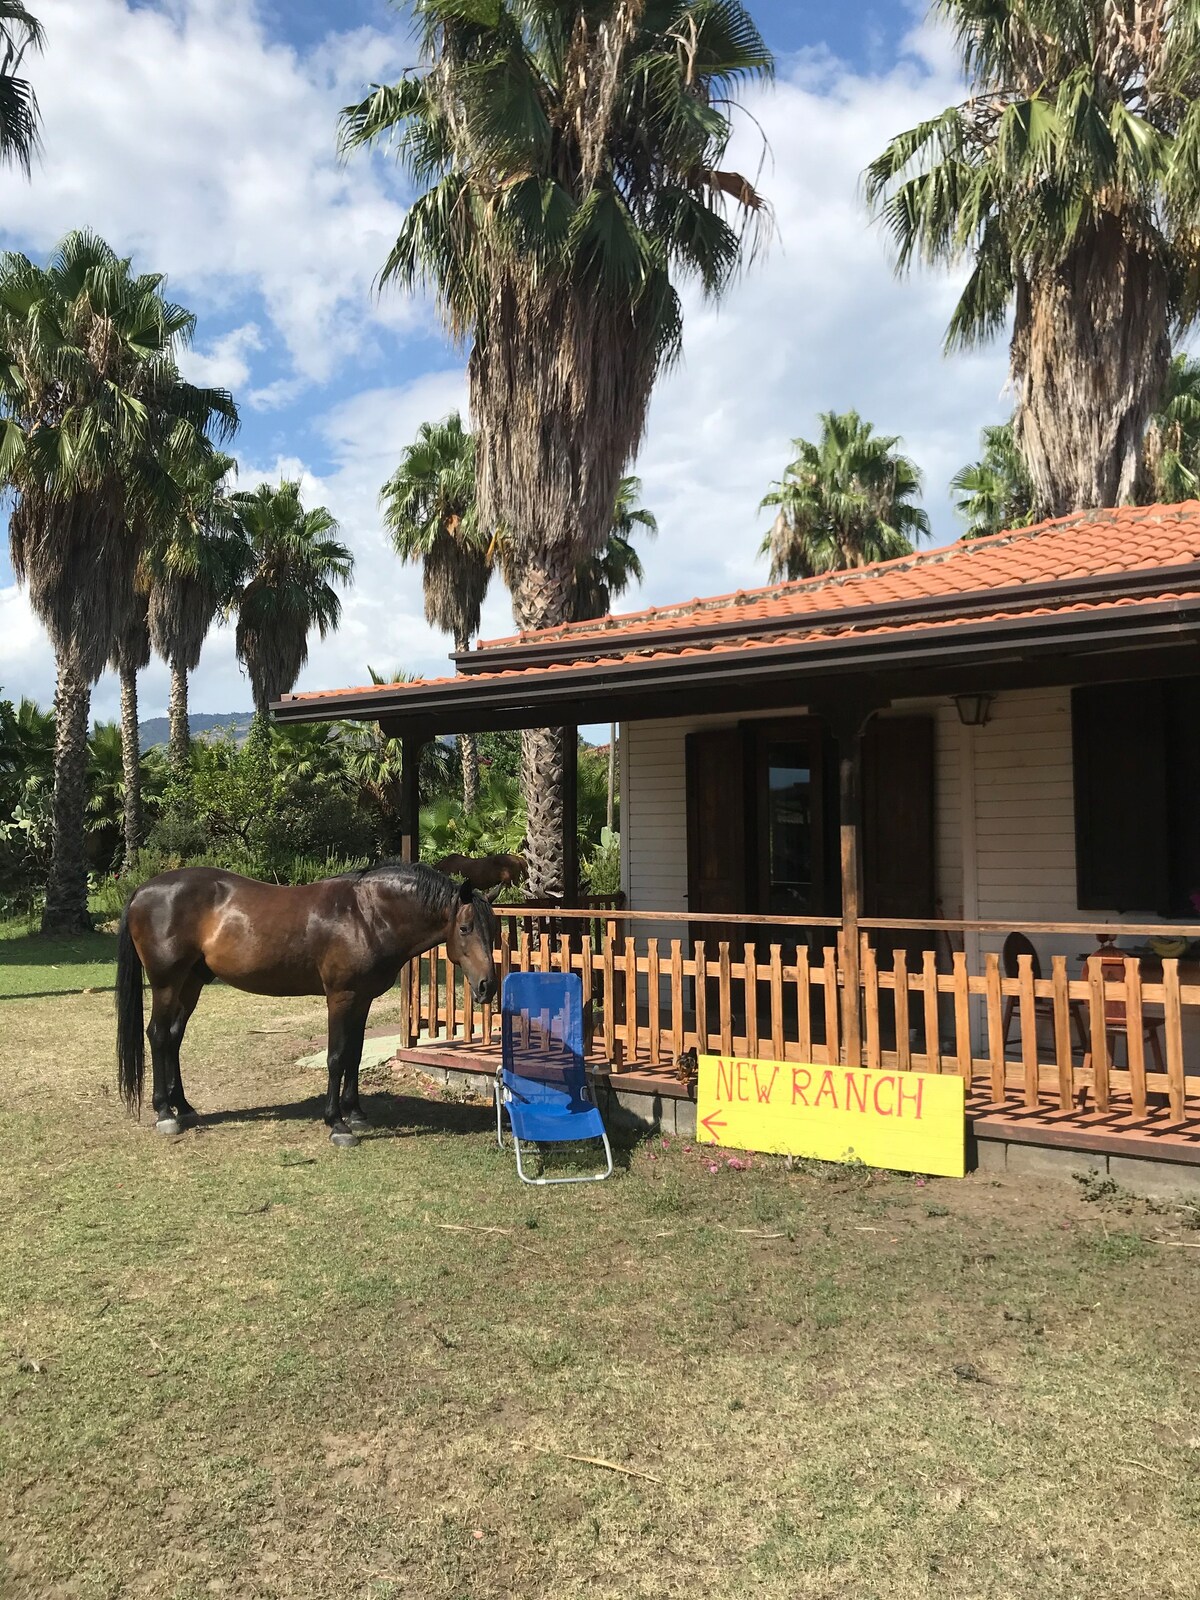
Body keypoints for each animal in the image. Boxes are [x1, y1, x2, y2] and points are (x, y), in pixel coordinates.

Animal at [116, 870, 499, 1145]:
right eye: (465, 928)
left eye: (494, 931)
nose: (487, 986)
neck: (366, 915)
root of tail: (141, 891)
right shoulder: (341, 997)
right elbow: (336, 1057)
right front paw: (337, 1124)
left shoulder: (362, 999)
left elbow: (355, 1056)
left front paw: (355, 1113)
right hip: (166, 984)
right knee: (159, 1035)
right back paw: (165, 1113)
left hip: (192, 983)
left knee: (174, 1038)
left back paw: (184, 1107)